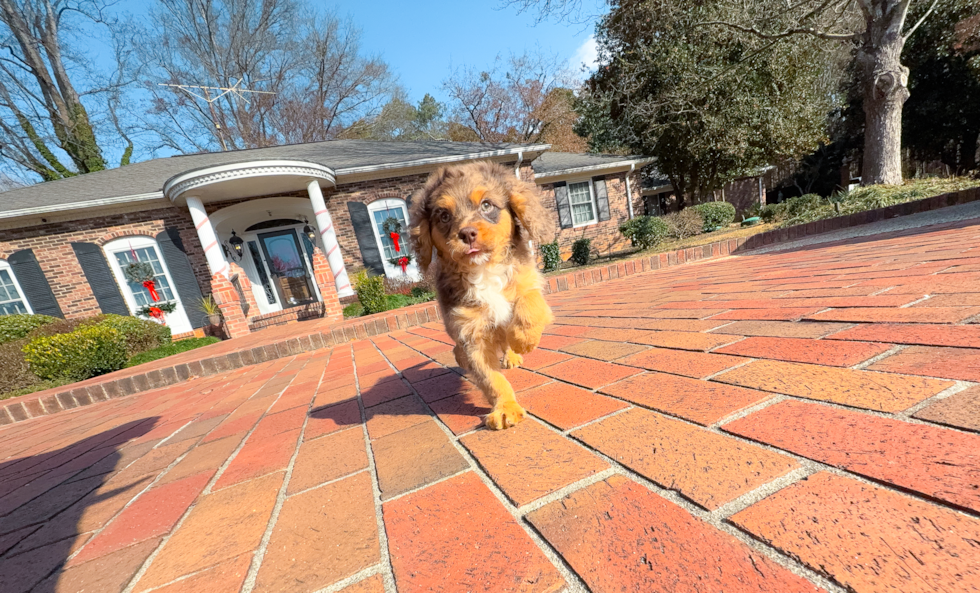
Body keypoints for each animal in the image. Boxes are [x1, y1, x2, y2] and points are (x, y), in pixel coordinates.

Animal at [410, 161, 556, 430]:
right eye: (444, 216)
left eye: (486, 205)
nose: (467, 233)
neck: (485, 271)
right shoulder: (471, 333)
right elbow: (491, 379)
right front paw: (505, 409)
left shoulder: (529, 282)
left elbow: (530, 305)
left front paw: (522, 340)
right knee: (459, 350)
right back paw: (460, 356)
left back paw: (512, 354)